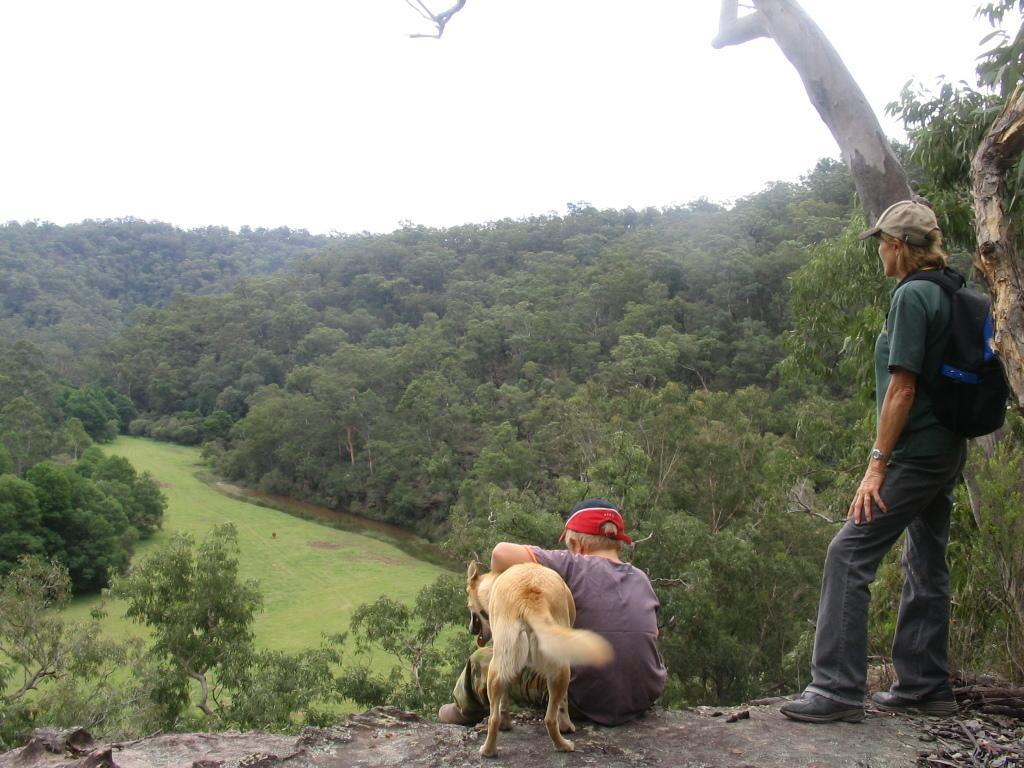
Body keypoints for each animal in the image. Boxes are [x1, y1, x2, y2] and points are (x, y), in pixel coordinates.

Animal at [468, 561, 610, 757]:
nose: (470, 629)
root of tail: (530, 601)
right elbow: (563, 703)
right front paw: (567, 725)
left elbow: (503, 701)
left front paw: (506, 723)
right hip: (560, 668)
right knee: (551, 717)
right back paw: (563, 743)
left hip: (497, 670)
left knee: (493, 718)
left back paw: (489, 750)